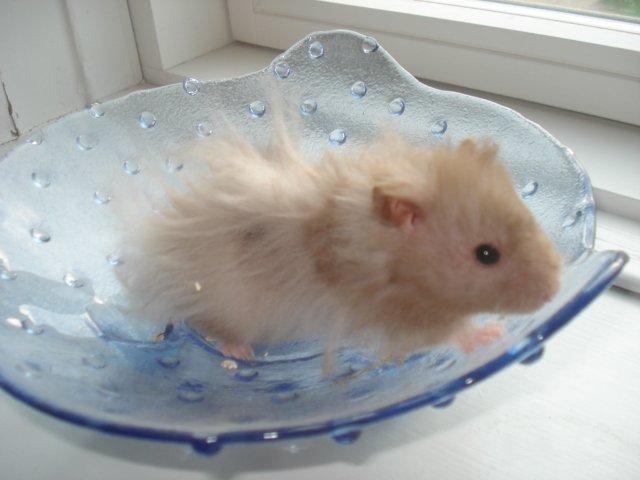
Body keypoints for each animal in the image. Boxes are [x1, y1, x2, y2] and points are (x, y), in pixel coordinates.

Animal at [120, 129, 562, 362]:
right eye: (487, 254)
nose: (554, 291)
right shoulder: (398, 315)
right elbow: (450, 333)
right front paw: (492, 333)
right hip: (228, 304)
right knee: (203, 325)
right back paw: (240, 354)